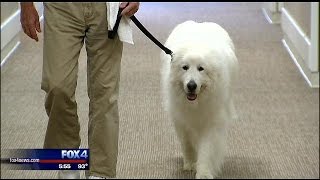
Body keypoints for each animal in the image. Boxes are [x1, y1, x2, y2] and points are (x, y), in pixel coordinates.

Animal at [160, 20, 238, 178]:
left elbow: (206, 150)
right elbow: (187, 144)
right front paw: (190, 164)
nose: (191, 85)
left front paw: (204, 173)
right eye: (185, 67)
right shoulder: (182, 120)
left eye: (201, 68)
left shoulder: (211, 121)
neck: (196, 103)